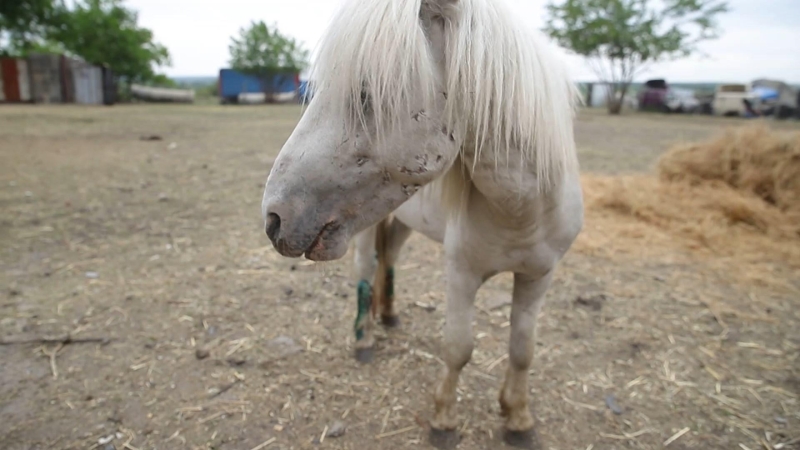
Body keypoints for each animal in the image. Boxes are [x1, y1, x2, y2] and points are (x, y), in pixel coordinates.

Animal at [262, 0, 580, 442]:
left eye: (366, 92)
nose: (274, 217)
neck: (521, 212)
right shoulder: (461, 273)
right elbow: (459, 348)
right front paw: (443, 419)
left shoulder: (538, 276)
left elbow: (522, 349)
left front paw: (517, 418)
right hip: (362, 230)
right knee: (366, 268)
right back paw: (364, 339)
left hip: (403, 221)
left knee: (390, 258)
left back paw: (390, 315)